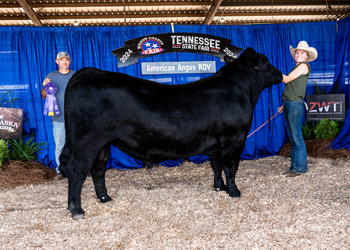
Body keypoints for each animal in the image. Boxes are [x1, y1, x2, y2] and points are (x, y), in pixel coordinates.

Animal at [60, 47, 284, 219]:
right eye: (265, 61)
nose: (281, 73)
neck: (241, 90)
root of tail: (90, 72)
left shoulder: (216, 143)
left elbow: (216, 166)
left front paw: (218, 188)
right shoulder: (234, 138)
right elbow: (231, 167)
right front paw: (234, 192)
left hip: (103, 144)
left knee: (98, 169)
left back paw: (104, 198)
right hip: (86, 141)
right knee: (77, 170)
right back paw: (77, 210)